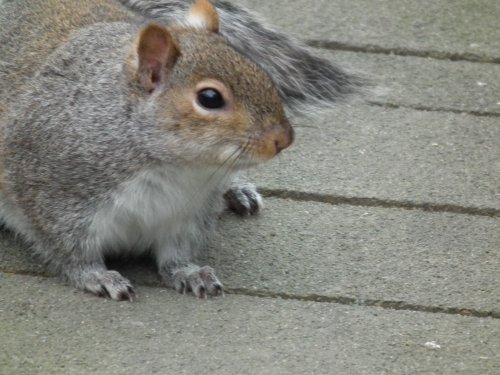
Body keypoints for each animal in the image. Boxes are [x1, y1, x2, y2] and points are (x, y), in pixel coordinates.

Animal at [0, 0, 360, 300]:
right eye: (210, 98)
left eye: (260, 72)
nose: (284, 139)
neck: (175, 167)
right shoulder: (54, 200)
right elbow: (70, 251)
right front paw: (97, 277)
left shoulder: (186, 215)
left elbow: (175, 253)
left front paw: (189, 272)